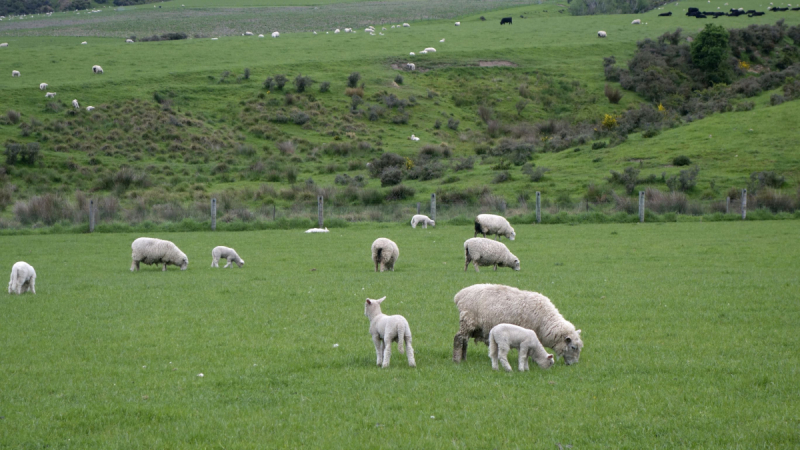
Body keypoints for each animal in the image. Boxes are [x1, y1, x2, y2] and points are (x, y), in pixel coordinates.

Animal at [454, 284, 584, 366]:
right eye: (573, 347)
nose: (574, 365)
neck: (546, 321)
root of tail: (459, 295)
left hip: (472, 326)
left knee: (464, 340)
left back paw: (464, 358)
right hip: (468, 321)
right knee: (458, 338)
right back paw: (457, 360)